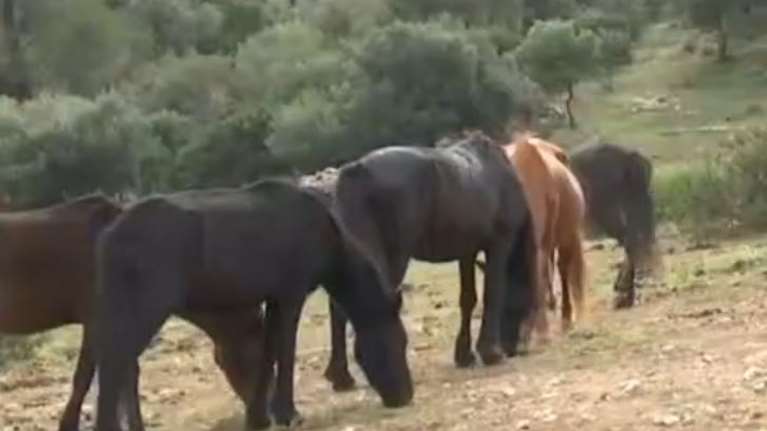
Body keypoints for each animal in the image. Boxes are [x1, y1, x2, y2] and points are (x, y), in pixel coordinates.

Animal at [93, 179, 413, 431]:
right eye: (396, 341)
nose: (405, 395)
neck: (327, 236)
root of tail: (109, 237)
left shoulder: (272, 300)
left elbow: (267, 354)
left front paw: (258, 417)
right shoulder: (291, 295)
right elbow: (285, 351)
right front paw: (288, 414)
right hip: (145, 310)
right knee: (115, 364)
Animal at [322, 131, 538, 392]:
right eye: (524, 302)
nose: (513, 348)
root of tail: (356, 170)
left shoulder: (467, 252)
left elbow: (468, 299)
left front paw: (464, 355)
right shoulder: (498, 244)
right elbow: (492, 294)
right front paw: (490, 353)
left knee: (339, 308)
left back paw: (341, 377)